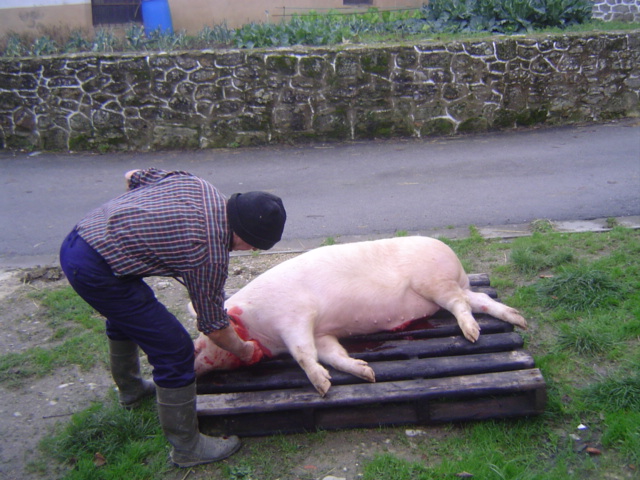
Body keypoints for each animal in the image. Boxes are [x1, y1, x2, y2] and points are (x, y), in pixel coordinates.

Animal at [192, 236, 527, 396]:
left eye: (200, 342)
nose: (191, 363)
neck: (262, 328)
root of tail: (455, 258)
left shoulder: (295, 316)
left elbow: (303, 353)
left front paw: (322, 388)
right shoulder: (321, 333)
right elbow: (330, 354)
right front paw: (368, 374)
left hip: (434, 282)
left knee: (460, 304)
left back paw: (472, 335)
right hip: (446, 288)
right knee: (479, 300)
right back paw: (518, 319)